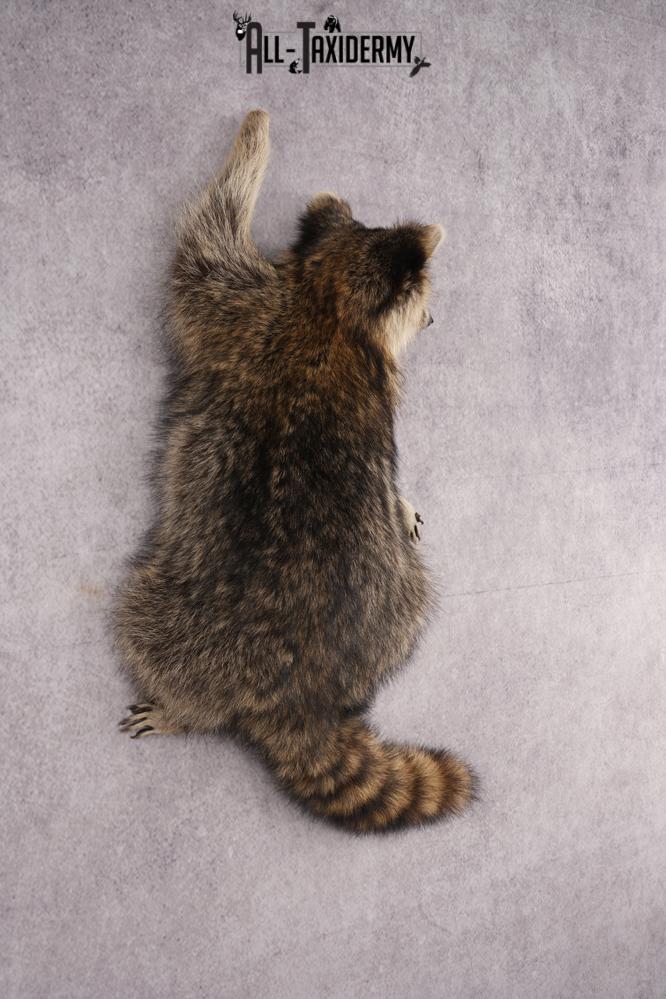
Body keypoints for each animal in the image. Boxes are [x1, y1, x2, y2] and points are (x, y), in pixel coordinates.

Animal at [115, 110, 476, 832]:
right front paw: (253, 141)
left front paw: (251, 142)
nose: (434, 315)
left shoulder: (240, 304)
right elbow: (209, 231)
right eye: (425, 298)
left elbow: (207, 235)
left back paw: (182, 708)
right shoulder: (251, 304)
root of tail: (299, 696)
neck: (329, 300)